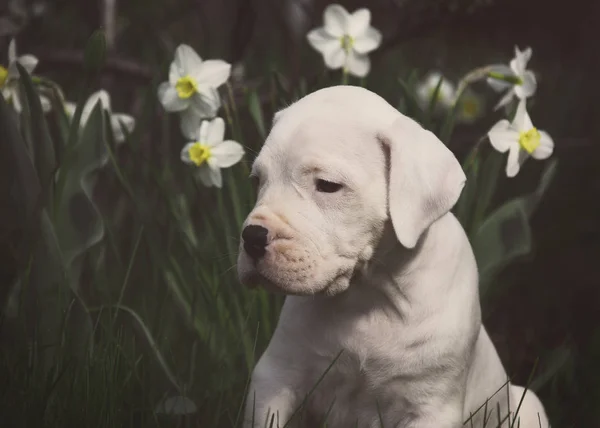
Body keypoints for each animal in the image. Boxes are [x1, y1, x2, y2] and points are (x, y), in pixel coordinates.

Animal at [237, 85, 552, 426]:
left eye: (328, 185)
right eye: (257, 181)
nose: (252, 237)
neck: (370, 294)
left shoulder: (430, 408)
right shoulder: (275, 378)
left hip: (529, 403)